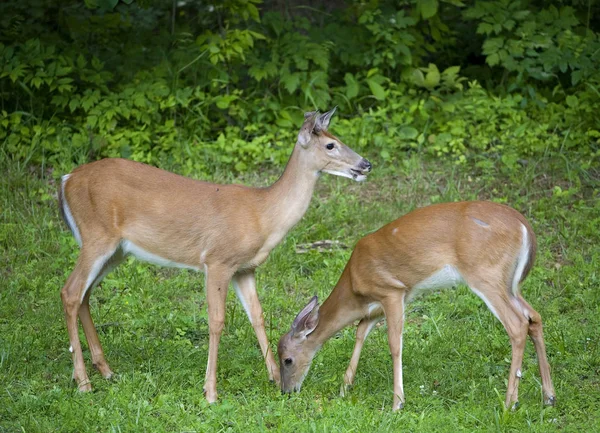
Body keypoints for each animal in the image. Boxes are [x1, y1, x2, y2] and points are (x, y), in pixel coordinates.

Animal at [58, 109, 372, 402]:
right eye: (331, 145)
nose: (365, 164)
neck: (263, 215)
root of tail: (66, 180)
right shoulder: (218, 260)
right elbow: (217, 321)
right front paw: (210, 391)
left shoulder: (245, 268)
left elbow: (257, 315)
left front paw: (272, 375)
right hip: (97, 236)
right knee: (70, 291)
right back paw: (83, 382)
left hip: (117, 250)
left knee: (84, 295)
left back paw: (105, 371)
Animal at [278, 201, 556, 410]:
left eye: (287, 360)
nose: (285, 391)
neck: (355, 285)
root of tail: (524, 227)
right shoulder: (377, 307)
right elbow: (359, 333)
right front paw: (345, 387)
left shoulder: (392, 291)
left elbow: (394, 344)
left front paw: (397, 403)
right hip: (510, 284)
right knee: (534, 316)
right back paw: (549, 396)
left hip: (486, 274)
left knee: (517, 324)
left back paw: (510, 402)